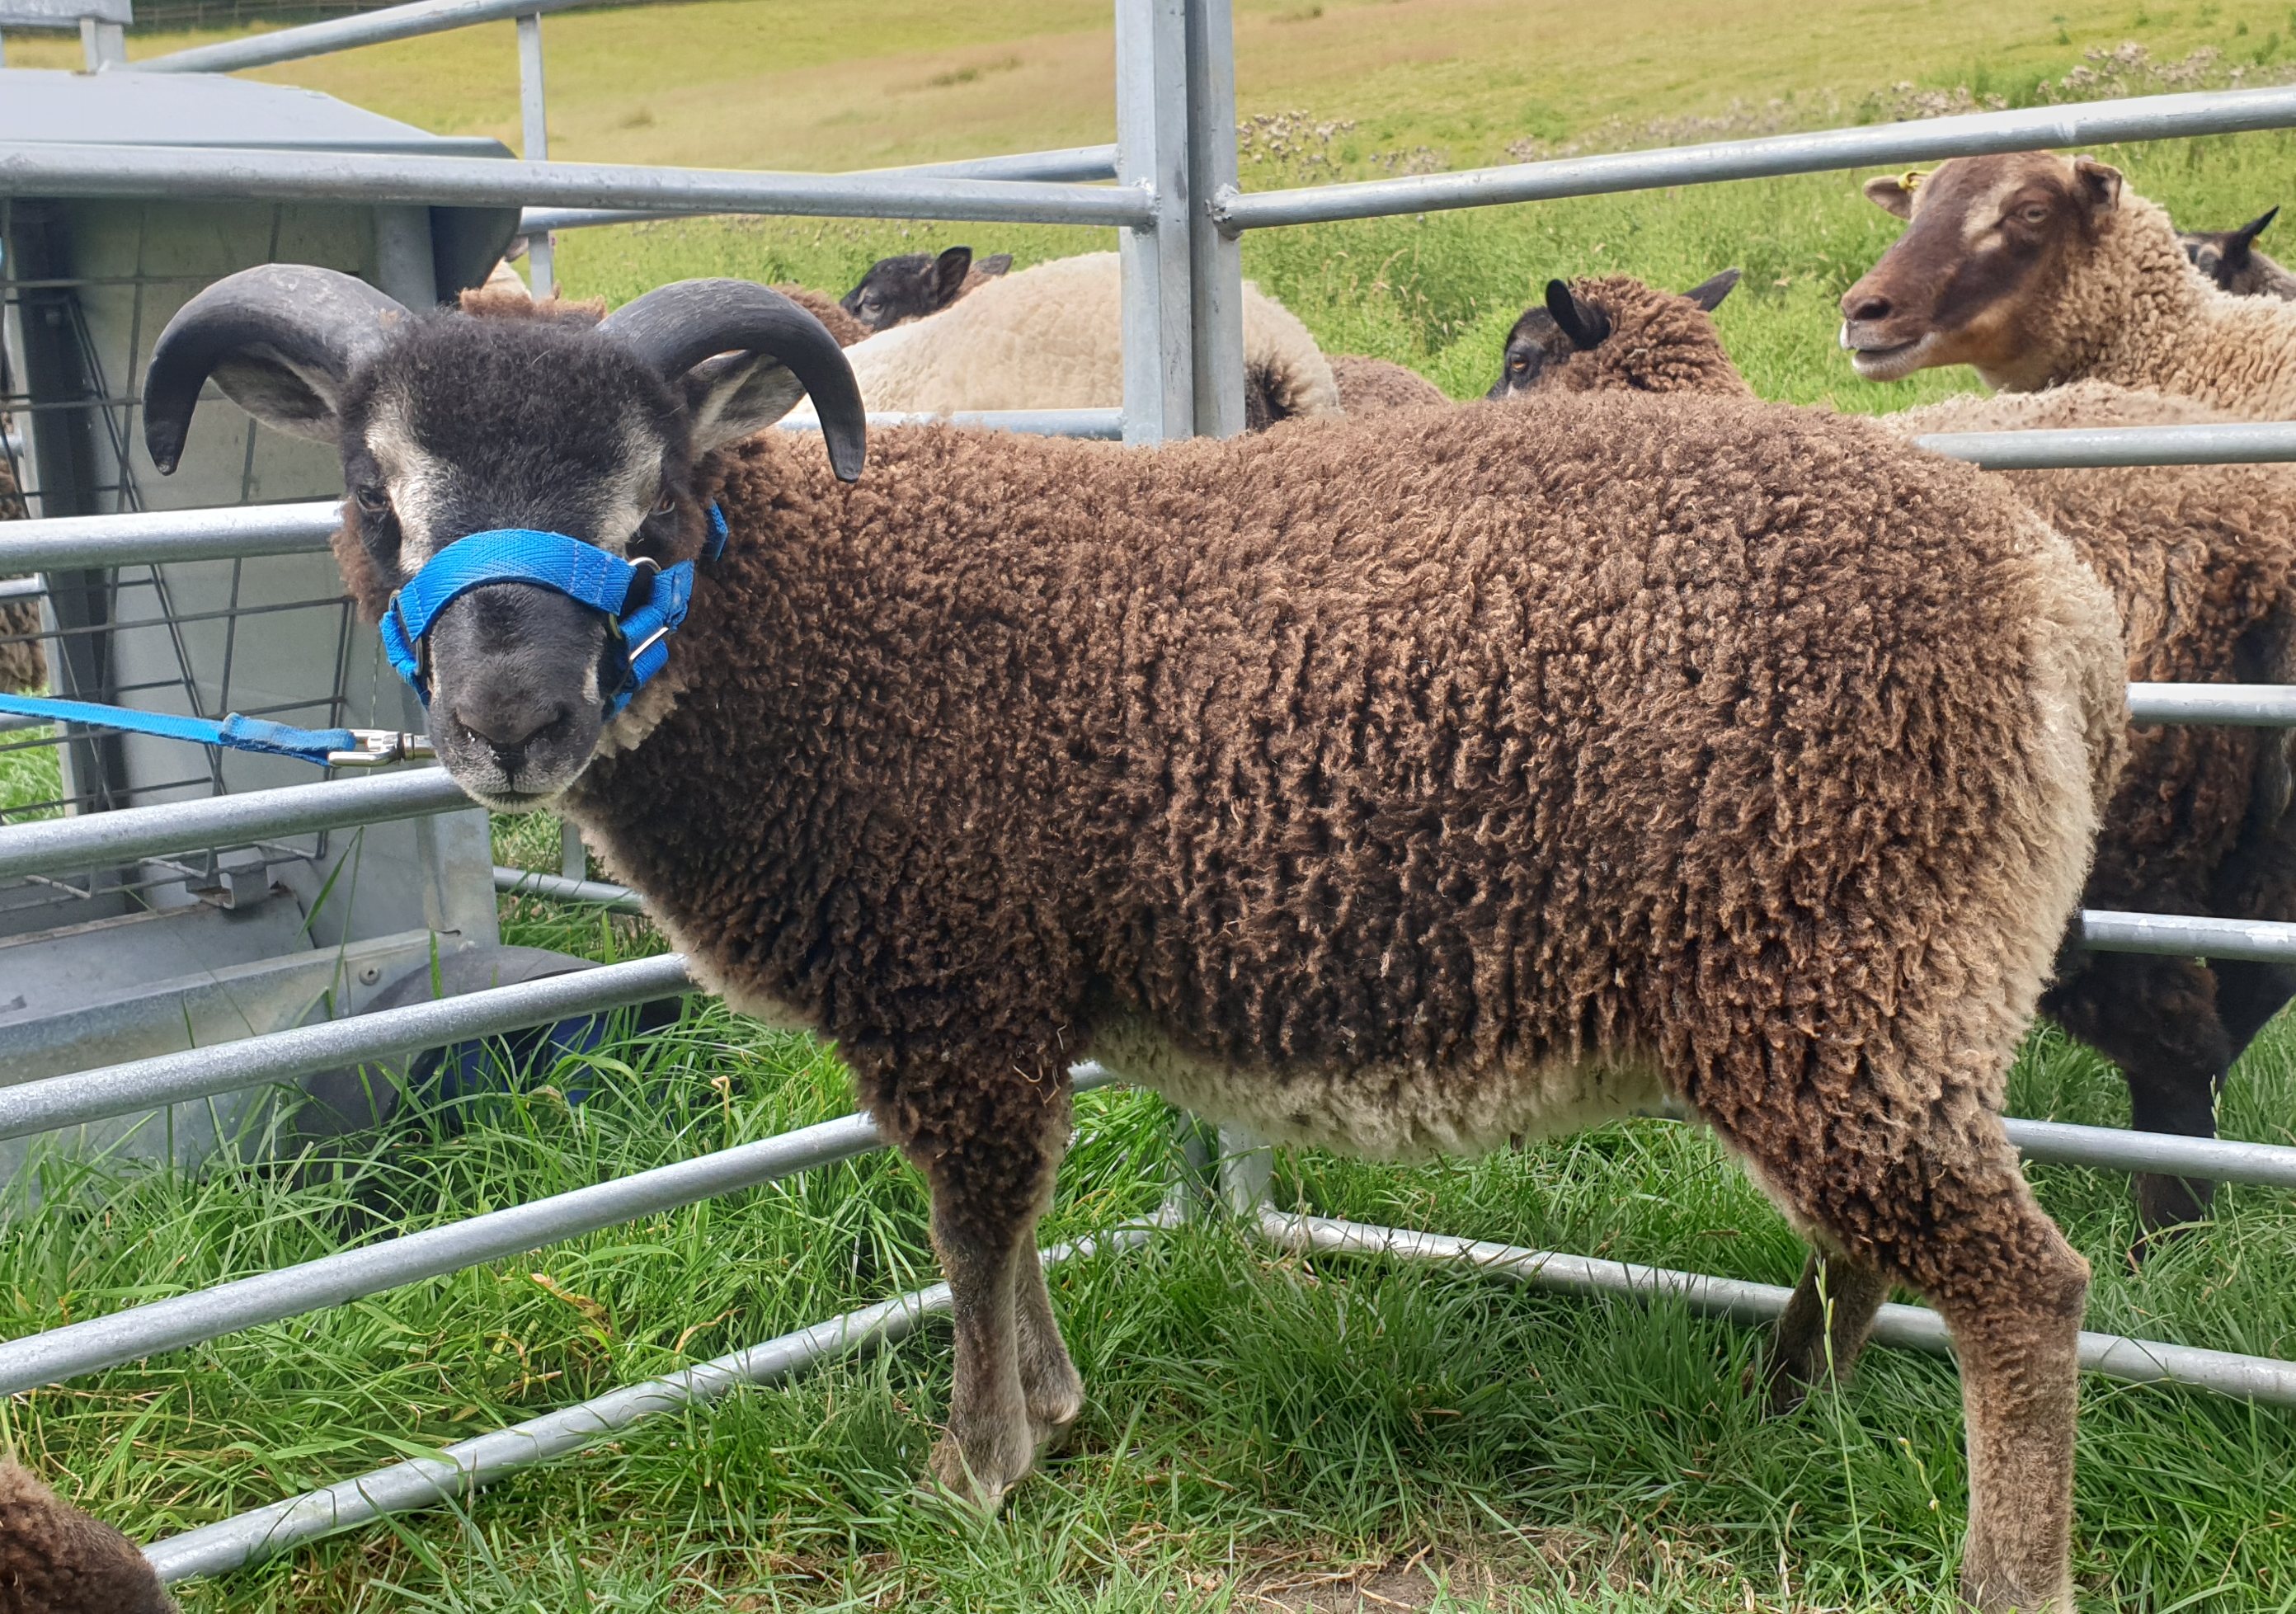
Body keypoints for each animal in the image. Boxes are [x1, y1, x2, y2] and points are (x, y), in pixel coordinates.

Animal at [134, 268, 2121, 1614]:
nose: (511, 723)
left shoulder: (950, 974)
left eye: (652, 507)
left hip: (1837, 958)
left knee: (2021, 1287)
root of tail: (2051, 597)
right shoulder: (997, 992)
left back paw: (1997, 1571)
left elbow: (969, 1219)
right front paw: (1058, 1412)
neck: (803, 638)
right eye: (378, 499)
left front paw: (977, 1469)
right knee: (1876, 1243)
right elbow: (1007, 1220)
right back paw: (1786, 1409)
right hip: (1851, 990)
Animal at [1497, 274, 2296, 1240]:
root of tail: (2261, 561)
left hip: (2117, 860)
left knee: (2180, 1052)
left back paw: (2159, 1240)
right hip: (2258, 848)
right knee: (2245, 1002)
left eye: (1521, 362)